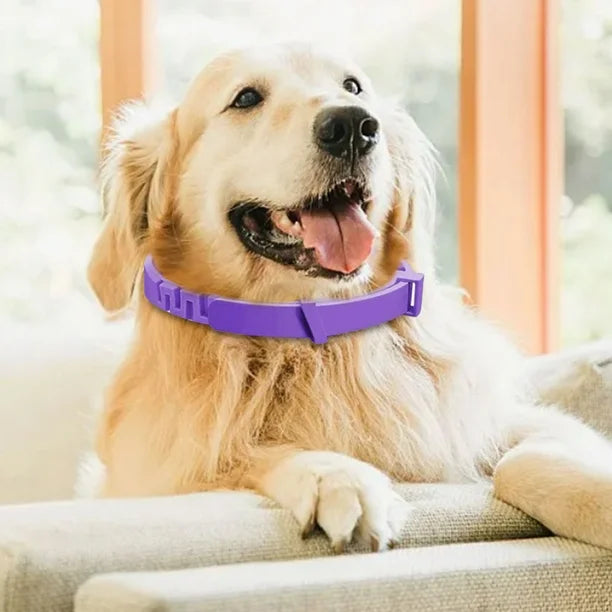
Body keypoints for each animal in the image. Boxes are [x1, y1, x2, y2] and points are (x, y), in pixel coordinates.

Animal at [86, 41, 612, 548]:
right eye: (246, 98)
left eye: (353, 86)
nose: (352, 127)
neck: (316, 334)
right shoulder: (162, 472)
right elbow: (255, 455)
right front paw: (343, 480)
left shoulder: (506, 421)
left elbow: (520, 459)